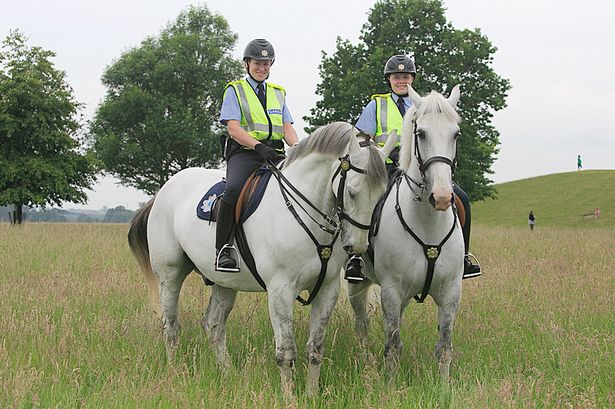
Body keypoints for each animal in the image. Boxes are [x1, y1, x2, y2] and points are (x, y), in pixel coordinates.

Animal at [129, 121, 394, 396]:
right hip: (170, 275)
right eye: (351, 192)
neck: (303, 215)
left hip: (224, 283)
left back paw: (228, 375)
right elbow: (286, 352)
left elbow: (315, 349)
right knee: (170, 327)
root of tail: (162, 192)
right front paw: (289, 397)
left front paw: (311, 395)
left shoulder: (327, 290)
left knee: (213, 325)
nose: (357, 245)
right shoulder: (280, 291)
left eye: (381, 195)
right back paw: (174, 372)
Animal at [348, 85, 464, 380]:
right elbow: (393, 345)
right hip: (358, 285)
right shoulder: (391, 290)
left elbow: (444, 345)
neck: (428, 225)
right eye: (420, 133)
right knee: (361, 326)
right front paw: (390, 384)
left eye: (455, 134)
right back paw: (365, 362)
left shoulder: (450, 293)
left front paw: (444, 385)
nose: (442, 197)